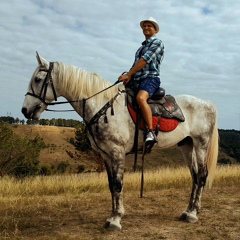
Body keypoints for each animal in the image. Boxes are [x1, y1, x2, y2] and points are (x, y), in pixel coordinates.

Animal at [21, 51, 218, 230]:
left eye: (38, 79)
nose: (24, 110)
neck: (103, 107)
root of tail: (207, 103)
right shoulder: (105, 154)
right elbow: (111, 185)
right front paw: (112, 216)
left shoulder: (117, 151)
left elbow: (118, 184)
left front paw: (116, 219)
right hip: (187, 145)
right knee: (194, 176)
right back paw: (189, 210)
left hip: (201, 144)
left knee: (202, 175)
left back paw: (193, 214)